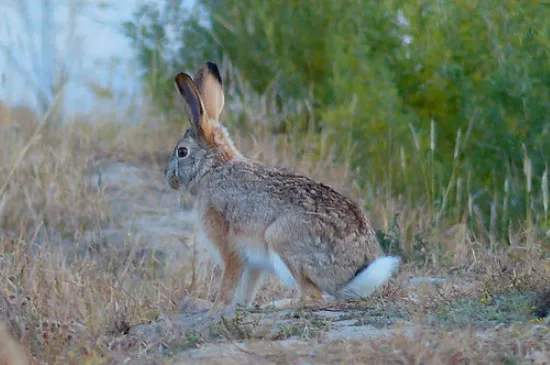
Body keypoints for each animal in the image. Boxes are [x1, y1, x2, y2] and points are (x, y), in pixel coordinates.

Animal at [164, 60, 402, 310]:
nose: (169, 178)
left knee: (312, 296)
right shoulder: (254, 264)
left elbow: (228, 283)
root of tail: (355, 271)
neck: (213, 168)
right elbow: (247, 289)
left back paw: (276, 305)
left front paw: (216, 307)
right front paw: (240, 306)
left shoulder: (231, 249)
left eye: (182, 152)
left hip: (280, 237)